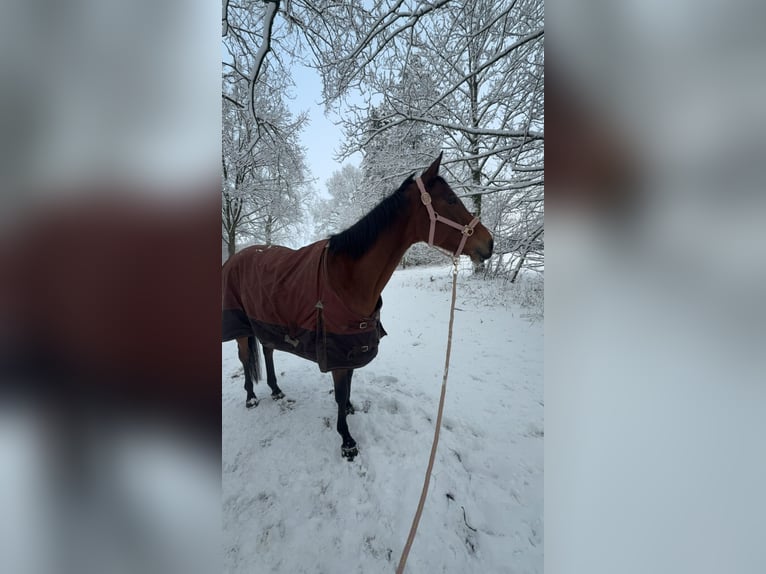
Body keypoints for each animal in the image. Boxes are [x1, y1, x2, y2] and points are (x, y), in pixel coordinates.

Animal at [221, 153, 493, 460]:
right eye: (450, 200)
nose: (490, 243)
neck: (346, 277)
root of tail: (234, 258)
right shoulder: (336, 349)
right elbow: (340, 392)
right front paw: (347, 440)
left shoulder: (350, 346)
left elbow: (348, 385)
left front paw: (350, 411)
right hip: (241, 325)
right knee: (245, 358)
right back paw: (251, 397)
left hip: (267, 322)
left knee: (267, 350)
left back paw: (276, 390)